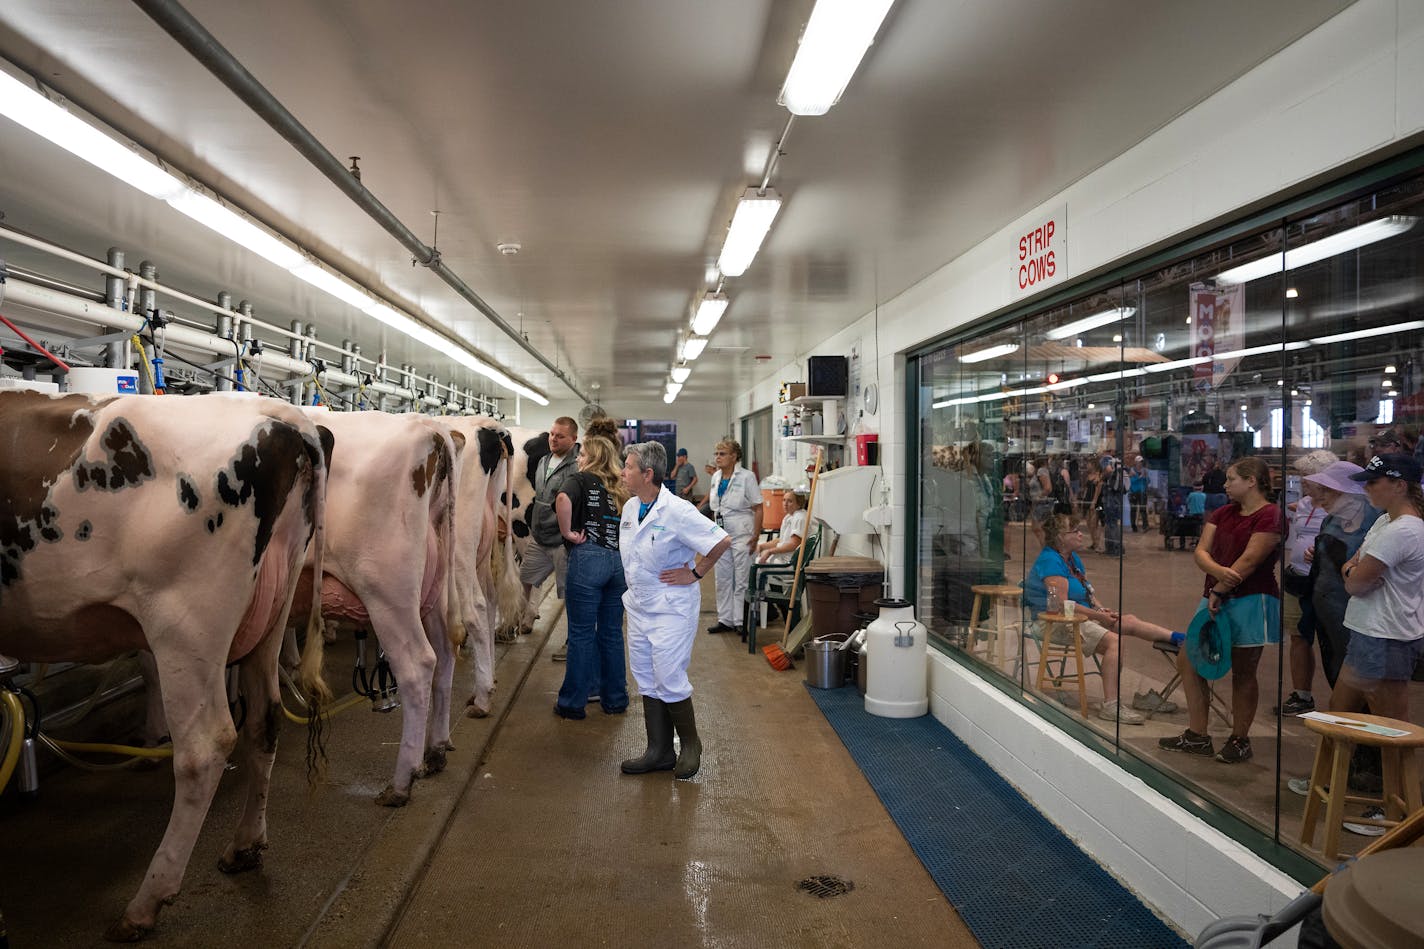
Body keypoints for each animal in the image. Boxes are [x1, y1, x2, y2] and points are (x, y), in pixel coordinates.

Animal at [0, 387, 326, 940]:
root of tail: (279, 413)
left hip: (184, 624)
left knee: (205, 747)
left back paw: (145, 903)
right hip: (270, 613)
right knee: (265, 721)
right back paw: (244, 846)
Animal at [290, 410, 461, 803]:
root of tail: (430, 429)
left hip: (387, 593)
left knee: (418, 665)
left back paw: (401, 782)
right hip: (434, 594)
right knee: (445, 655)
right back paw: (436, 751)